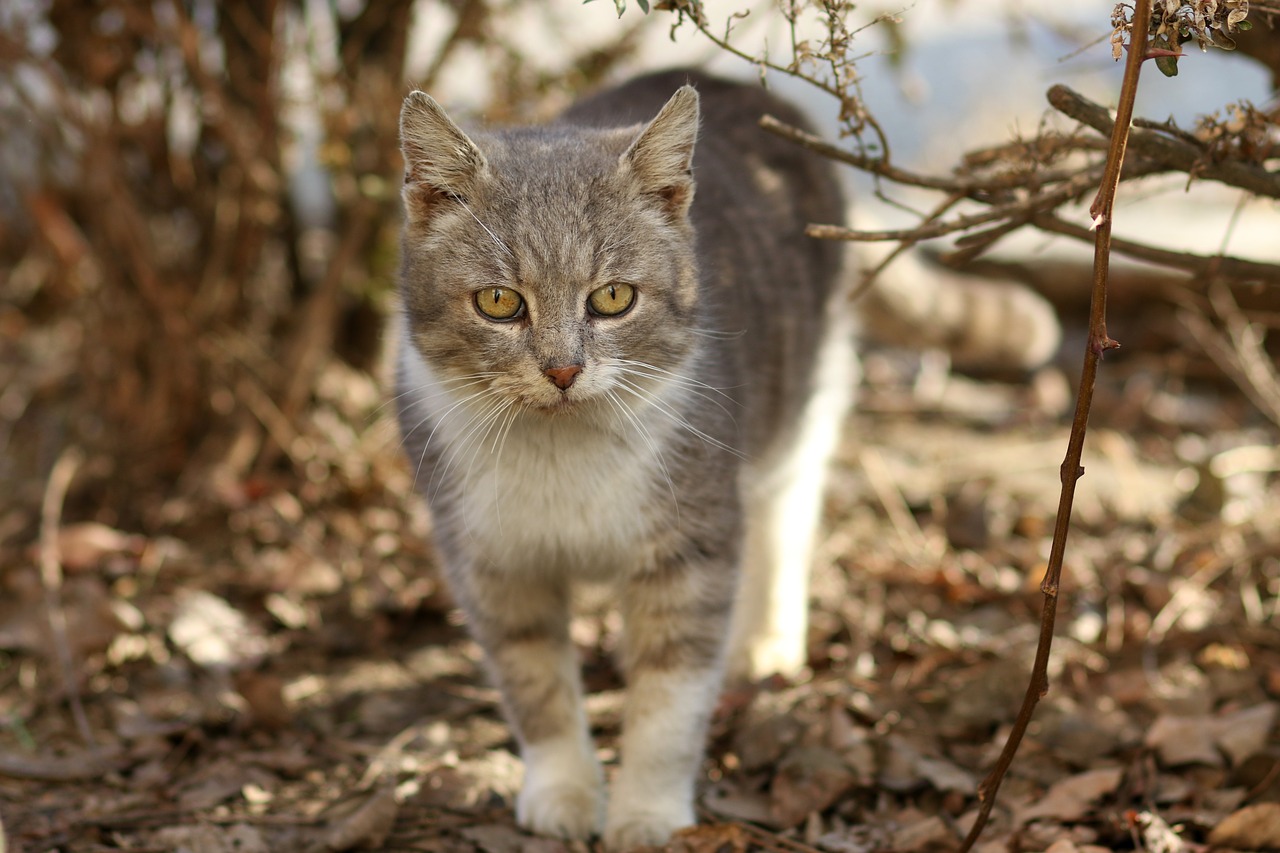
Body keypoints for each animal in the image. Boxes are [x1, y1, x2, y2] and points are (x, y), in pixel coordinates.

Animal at [389, 71, 860, 845]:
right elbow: (536, 684)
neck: (562, 455)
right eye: (499, 302)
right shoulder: (491, 563)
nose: (562, 369)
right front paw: (565, 792)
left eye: (612, 297)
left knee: (788, 515)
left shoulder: (690, 550)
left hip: (804, 402)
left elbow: (669, 701)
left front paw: (648, 814)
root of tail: (744, 85)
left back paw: (765, 639)